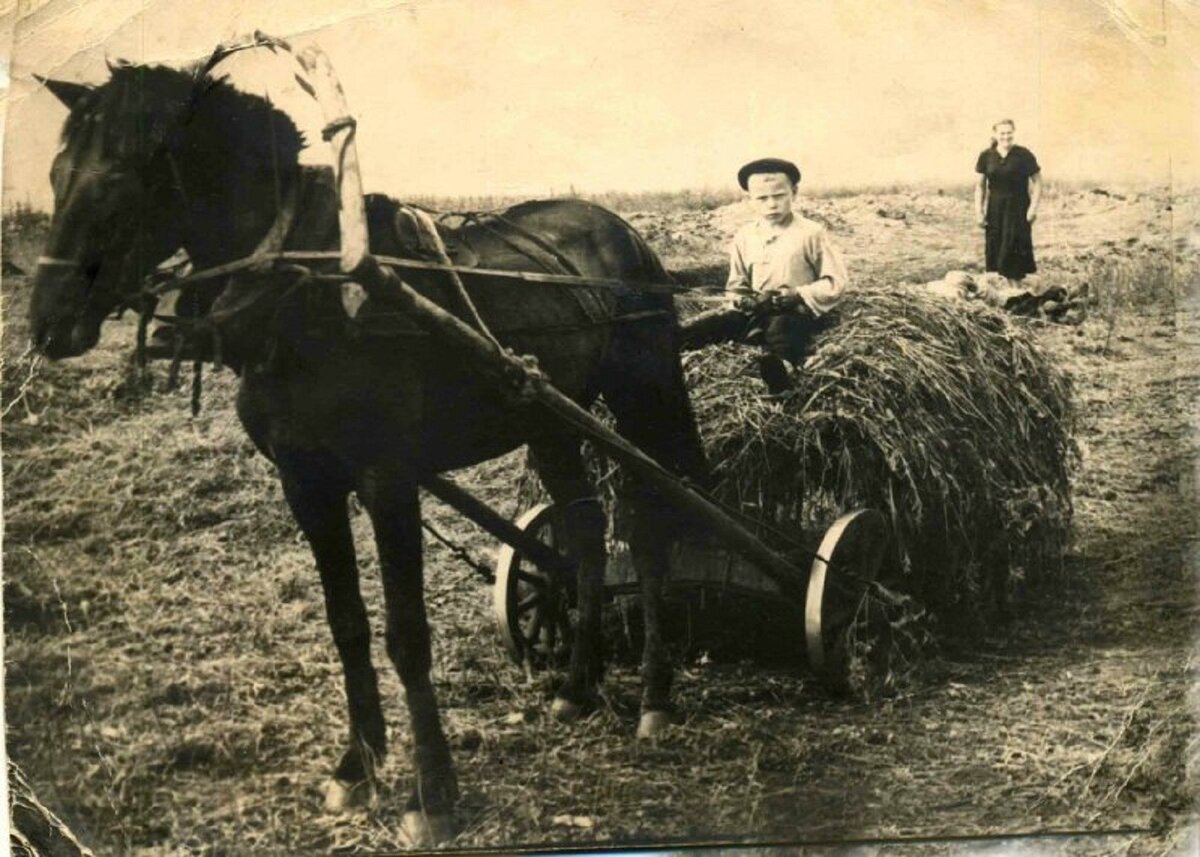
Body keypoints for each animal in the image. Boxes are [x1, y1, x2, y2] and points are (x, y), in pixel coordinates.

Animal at [28, 41, 705, 840]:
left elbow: (406, 633)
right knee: (586, 529)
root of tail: (620, 230)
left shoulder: (388, 478)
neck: (309, 289)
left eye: (117, 181)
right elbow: (347, 624)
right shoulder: (305, 481)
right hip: (550, 418)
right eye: (55, 176)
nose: (46, 324)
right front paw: (356, 769)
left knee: (652, 527)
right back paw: (577, 683)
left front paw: (430, 793)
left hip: (640, 398)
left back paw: (655, 698)